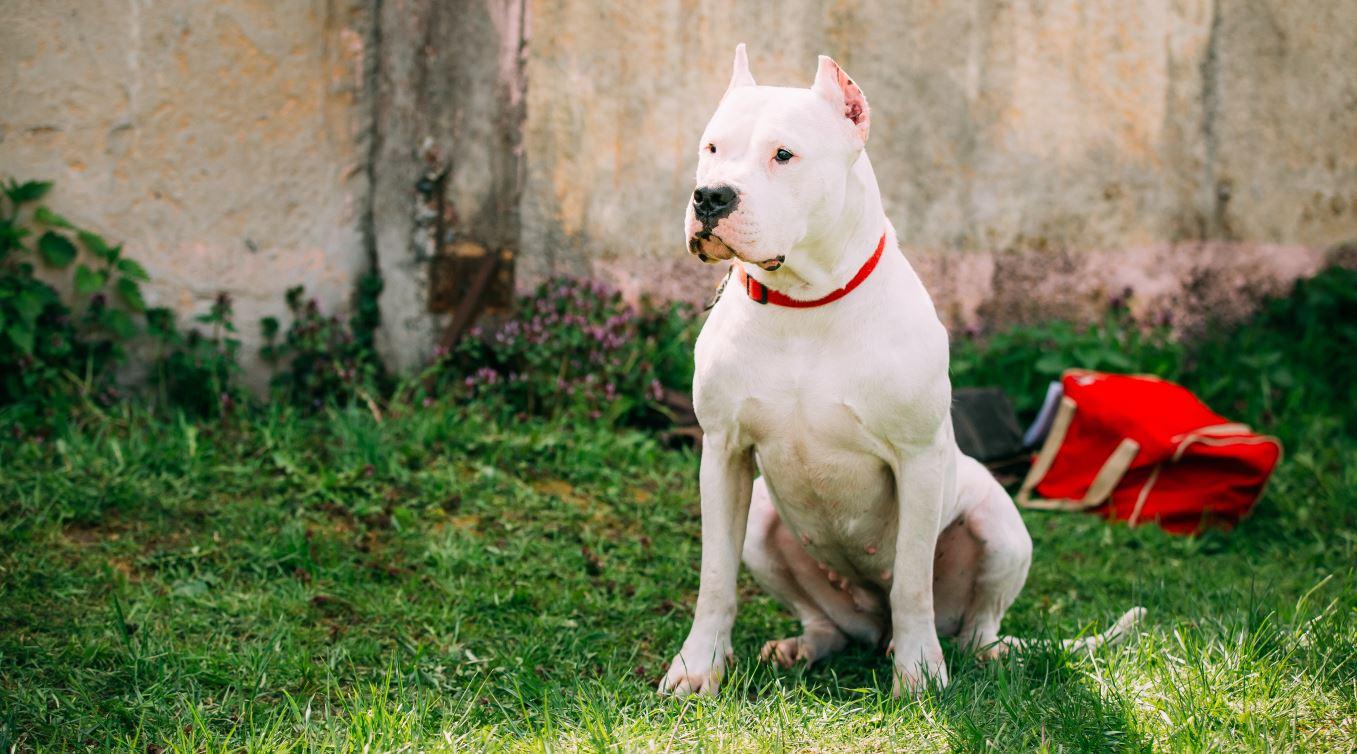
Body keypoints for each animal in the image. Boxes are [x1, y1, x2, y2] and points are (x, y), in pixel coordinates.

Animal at [662, 45, 1139, 694]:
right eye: (712, 147)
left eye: (783, 154)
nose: (710, 196)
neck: (804, 304)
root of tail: (870, 621)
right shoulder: (724, 452)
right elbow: (715, 578)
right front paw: (697, 667)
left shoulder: (916, 459)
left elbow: (914, 582)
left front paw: (918, 674)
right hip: (764, 519)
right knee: (828, 622)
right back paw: (803, 646)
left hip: (999, 526)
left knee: (972, 626)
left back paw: (965, 654)